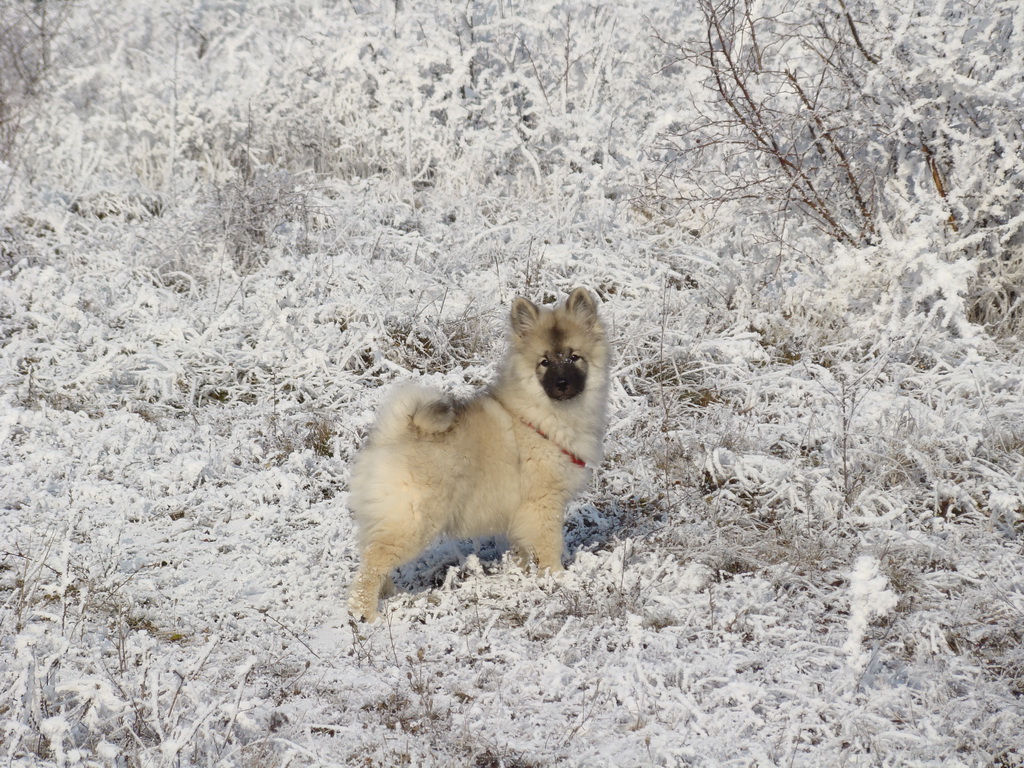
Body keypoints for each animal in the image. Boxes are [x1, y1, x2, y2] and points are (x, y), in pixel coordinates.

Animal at [348, 288, 610, 626]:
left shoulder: (523, 512)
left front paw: (523, 574)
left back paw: (390, 595)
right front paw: (558, 577)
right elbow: (550, 543)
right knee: (372, 565)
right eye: (544, 362)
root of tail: (390, 435)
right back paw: (366, 614)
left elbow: (525, 547)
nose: (562, 384)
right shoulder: (543, 503)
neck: (542, 415)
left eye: (574, 357)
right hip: (411, 522)